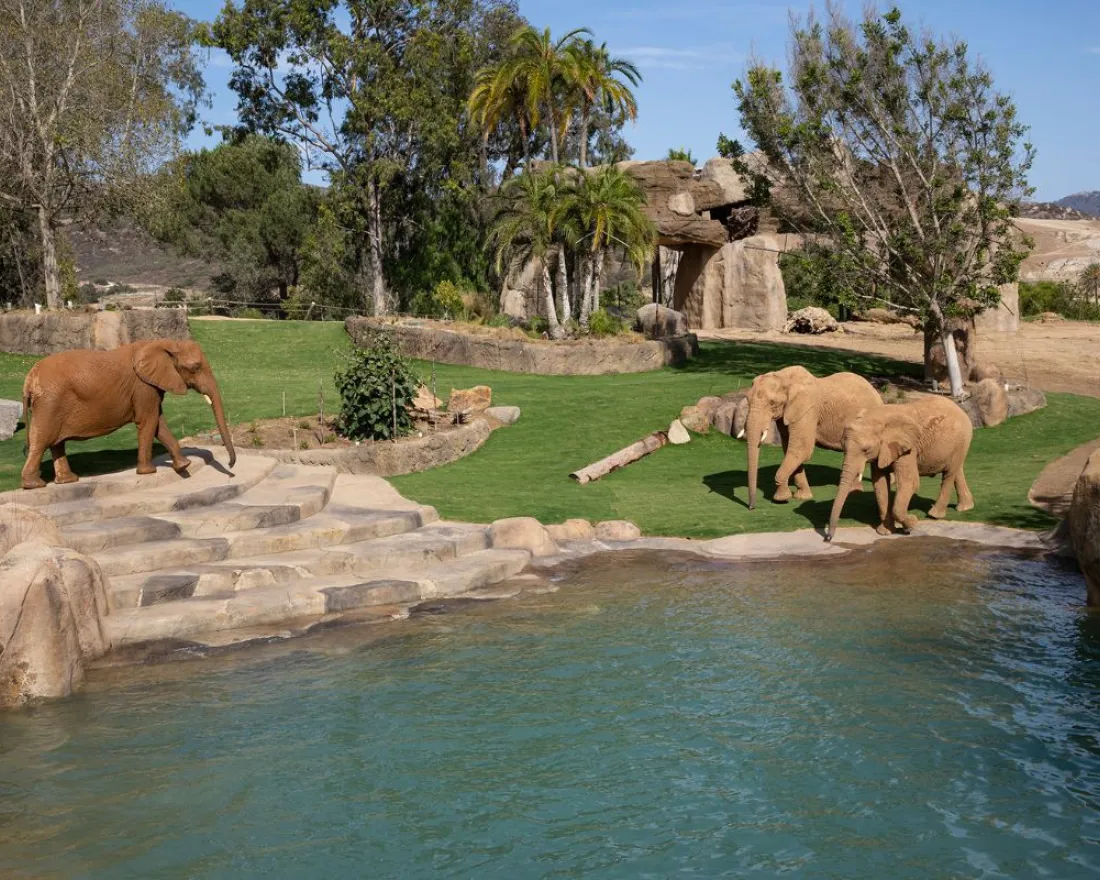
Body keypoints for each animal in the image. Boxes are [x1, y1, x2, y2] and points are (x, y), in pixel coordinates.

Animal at [21, 339, 236, 490]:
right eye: (195, 367)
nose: (231, 466)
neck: (164, 342)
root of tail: (29, 379)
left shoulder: (150, 386)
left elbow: (158, 424)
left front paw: (184, 466)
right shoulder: (143, 387)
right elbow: (149, 421)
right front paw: (149, 472)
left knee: (56, 443)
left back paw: (68, 481)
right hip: (50, 402)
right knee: (41, 440)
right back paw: (35, 485)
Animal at [738, 365, 883, 508]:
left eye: (773, 403)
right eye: (747, 400)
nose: (751, 507)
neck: (784, 377)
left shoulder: (808, 411)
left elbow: (801, 450)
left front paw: (781, 499)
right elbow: (790, 450)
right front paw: (802, 497)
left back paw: (855, 491)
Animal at [826, 395, 974, 541]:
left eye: (865, 450)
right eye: (843, 447)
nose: (828, 537)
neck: (875, 417)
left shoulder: (908, 447)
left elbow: (910, 482)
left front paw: (912, 524)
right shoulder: (883, 449)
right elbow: (880, 484)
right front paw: (885, 532)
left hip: (962, 439)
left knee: (949, 474)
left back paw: (935, 515)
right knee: (957, 471)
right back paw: (965, 507)